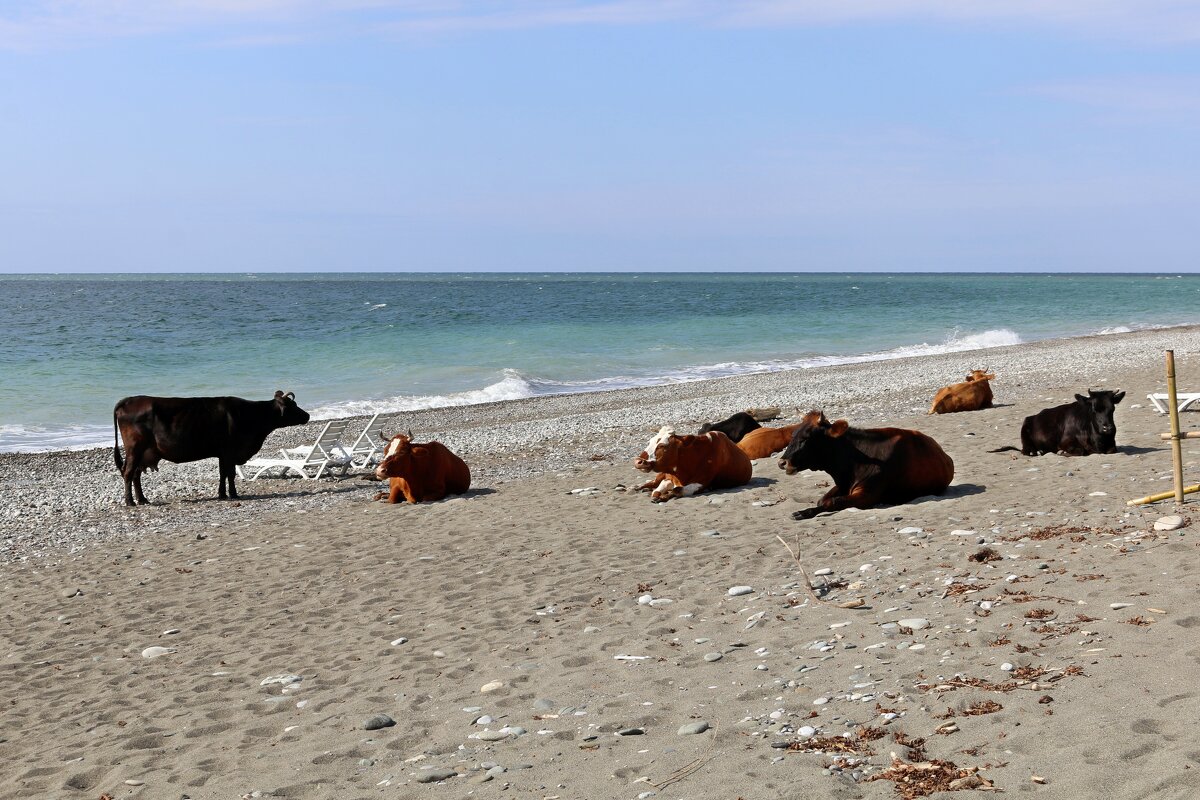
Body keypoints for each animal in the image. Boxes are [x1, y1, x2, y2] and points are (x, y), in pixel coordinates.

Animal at [112, 388, 312, 506]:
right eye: (293, 405)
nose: (308, 415)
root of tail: (129, 400)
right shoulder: (230, 451)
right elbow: (230, 473)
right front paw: (233, 494)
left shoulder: (223, 453)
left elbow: (223, 473)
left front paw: (222, 494)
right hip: (135, 448)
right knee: (128, 472)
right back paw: (130, 502)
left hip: (143, 452)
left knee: (136, 474)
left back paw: (142, 499)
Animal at [777, 410, 955, 522]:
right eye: (793, 435)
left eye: (806, 438)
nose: (782, 462)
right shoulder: (843, 485)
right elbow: (822, 500)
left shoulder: (867, 494)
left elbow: (832, 502)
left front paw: (802, 513)